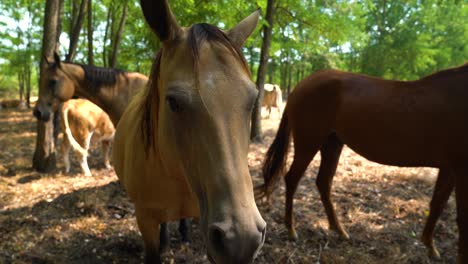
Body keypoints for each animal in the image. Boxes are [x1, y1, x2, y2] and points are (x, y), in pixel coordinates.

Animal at [256, 64, 468, 264]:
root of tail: (302, 84)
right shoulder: (460, 169)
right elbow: (461, 217)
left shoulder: (449, 169)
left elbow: (438, 204)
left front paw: (430, 247)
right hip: (309, 143)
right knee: (292, 179)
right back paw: (292, 230)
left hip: (332, 144)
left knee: (323, 182)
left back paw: (339, 230)